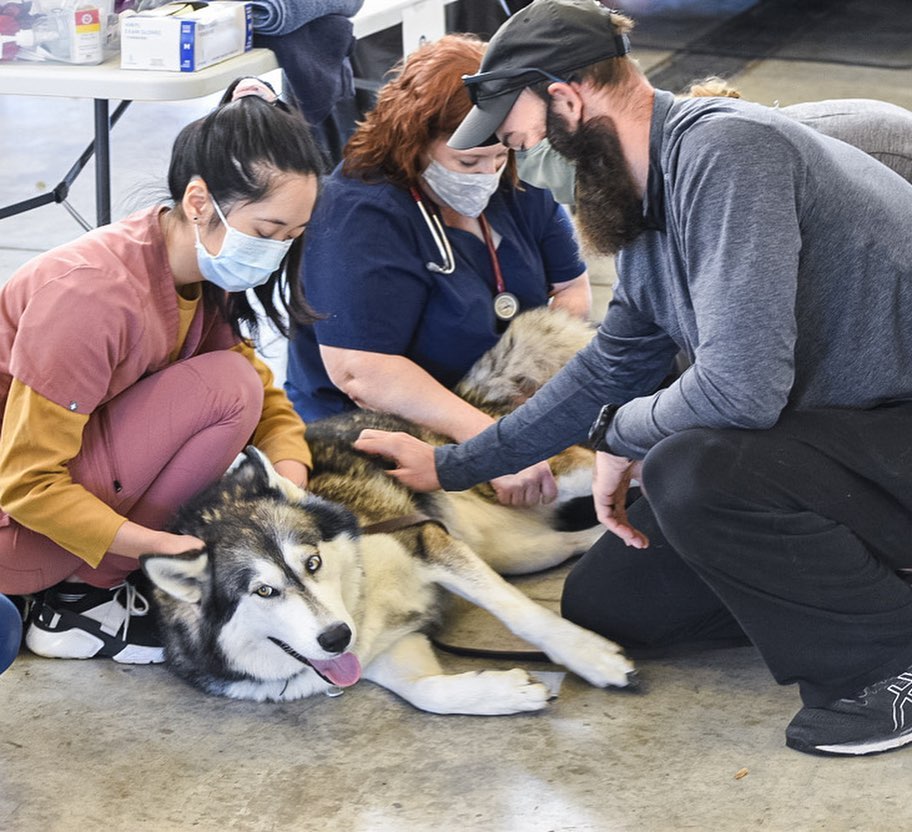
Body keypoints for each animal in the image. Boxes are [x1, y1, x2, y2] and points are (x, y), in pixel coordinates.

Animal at [141, 308, 636, 712]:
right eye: (264, 591)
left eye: (312, 563)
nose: (337, 636)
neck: (359, 598)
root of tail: (458, 397)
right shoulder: (383, 649)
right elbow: (427, 693)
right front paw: (506, 692)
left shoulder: (425, 539)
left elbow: (520, 612)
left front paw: (590, 656)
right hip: (513, 550)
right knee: (568, 543)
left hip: (535, 482)